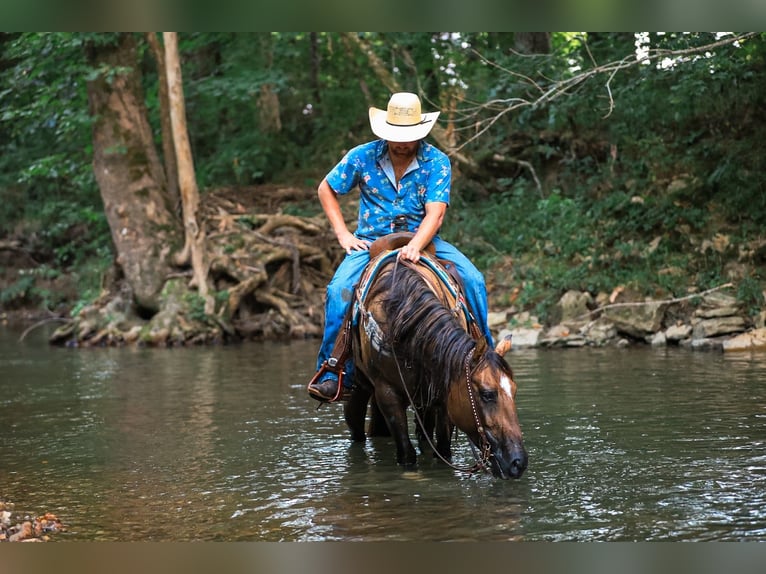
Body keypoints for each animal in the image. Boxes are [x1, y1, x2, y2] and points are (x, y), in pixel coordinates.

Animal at [342, 239, 528, 479]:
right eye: (487, 394)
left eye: (514, 390)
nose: (518, 462)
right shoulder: (386, 392)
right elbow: (407, 454)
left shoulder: (443, 392)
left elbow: (443, 450)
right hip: (360, 389)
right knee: (356, 425)